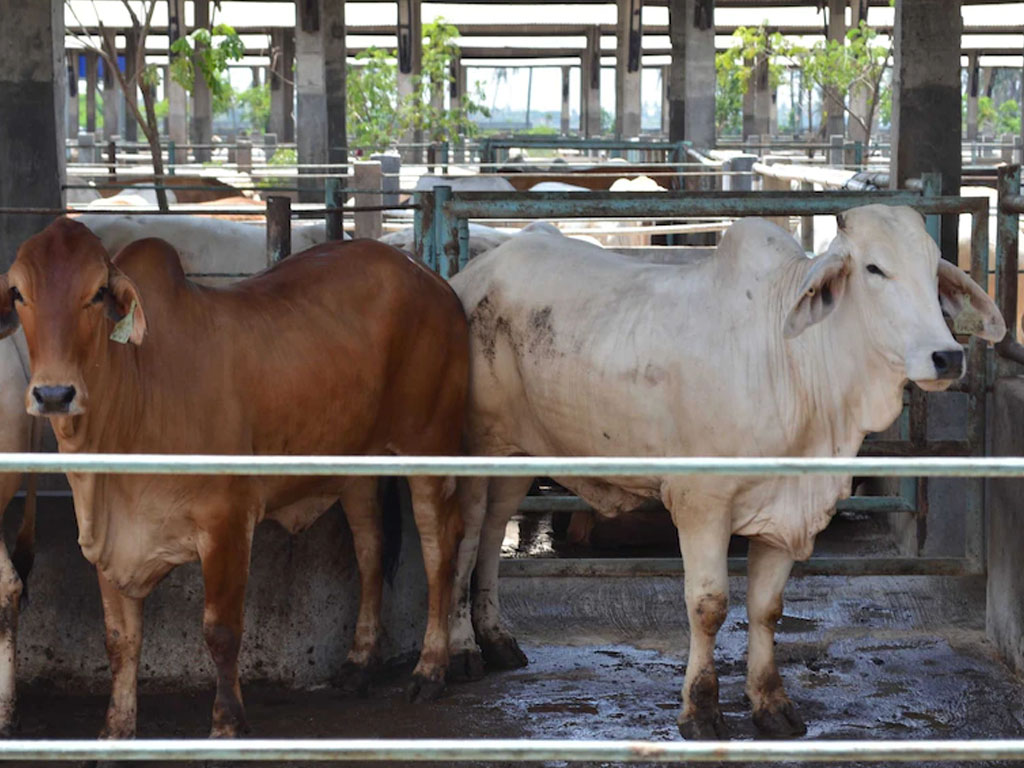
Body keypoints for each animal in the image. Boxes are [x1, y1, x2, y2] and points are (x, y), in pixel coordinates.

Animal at [0, 217, 468, 741]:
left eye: (98, 292)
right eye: (18, 292)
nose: (53, 394)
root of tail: (429, 277)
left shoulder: (226, 520)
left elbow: (221, 632)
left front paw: (227, 724)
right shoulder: (107, 539)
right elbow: (120, 639)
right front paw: (116, 731)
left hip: (431, 444)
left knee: (439, 547)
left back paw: (430, 668)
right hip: (358, 468)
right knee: (370, 550)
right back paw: (360, 662)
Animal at [446, 205, 999, 741]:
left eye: (933, 271)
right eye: (874, 268)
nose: (947, 356)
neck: (795, 365)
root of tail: (475, 274)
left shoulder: (784, 513)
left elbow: (767, 608)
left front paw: (772, 704)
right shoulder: (702, 504)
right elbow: (709, 606)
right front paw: (701, 709)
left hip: (517, 455)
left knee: (493, 532)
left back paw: (497, 639)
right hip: (476, 449)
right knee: (468, 537)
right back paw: (462, 650)